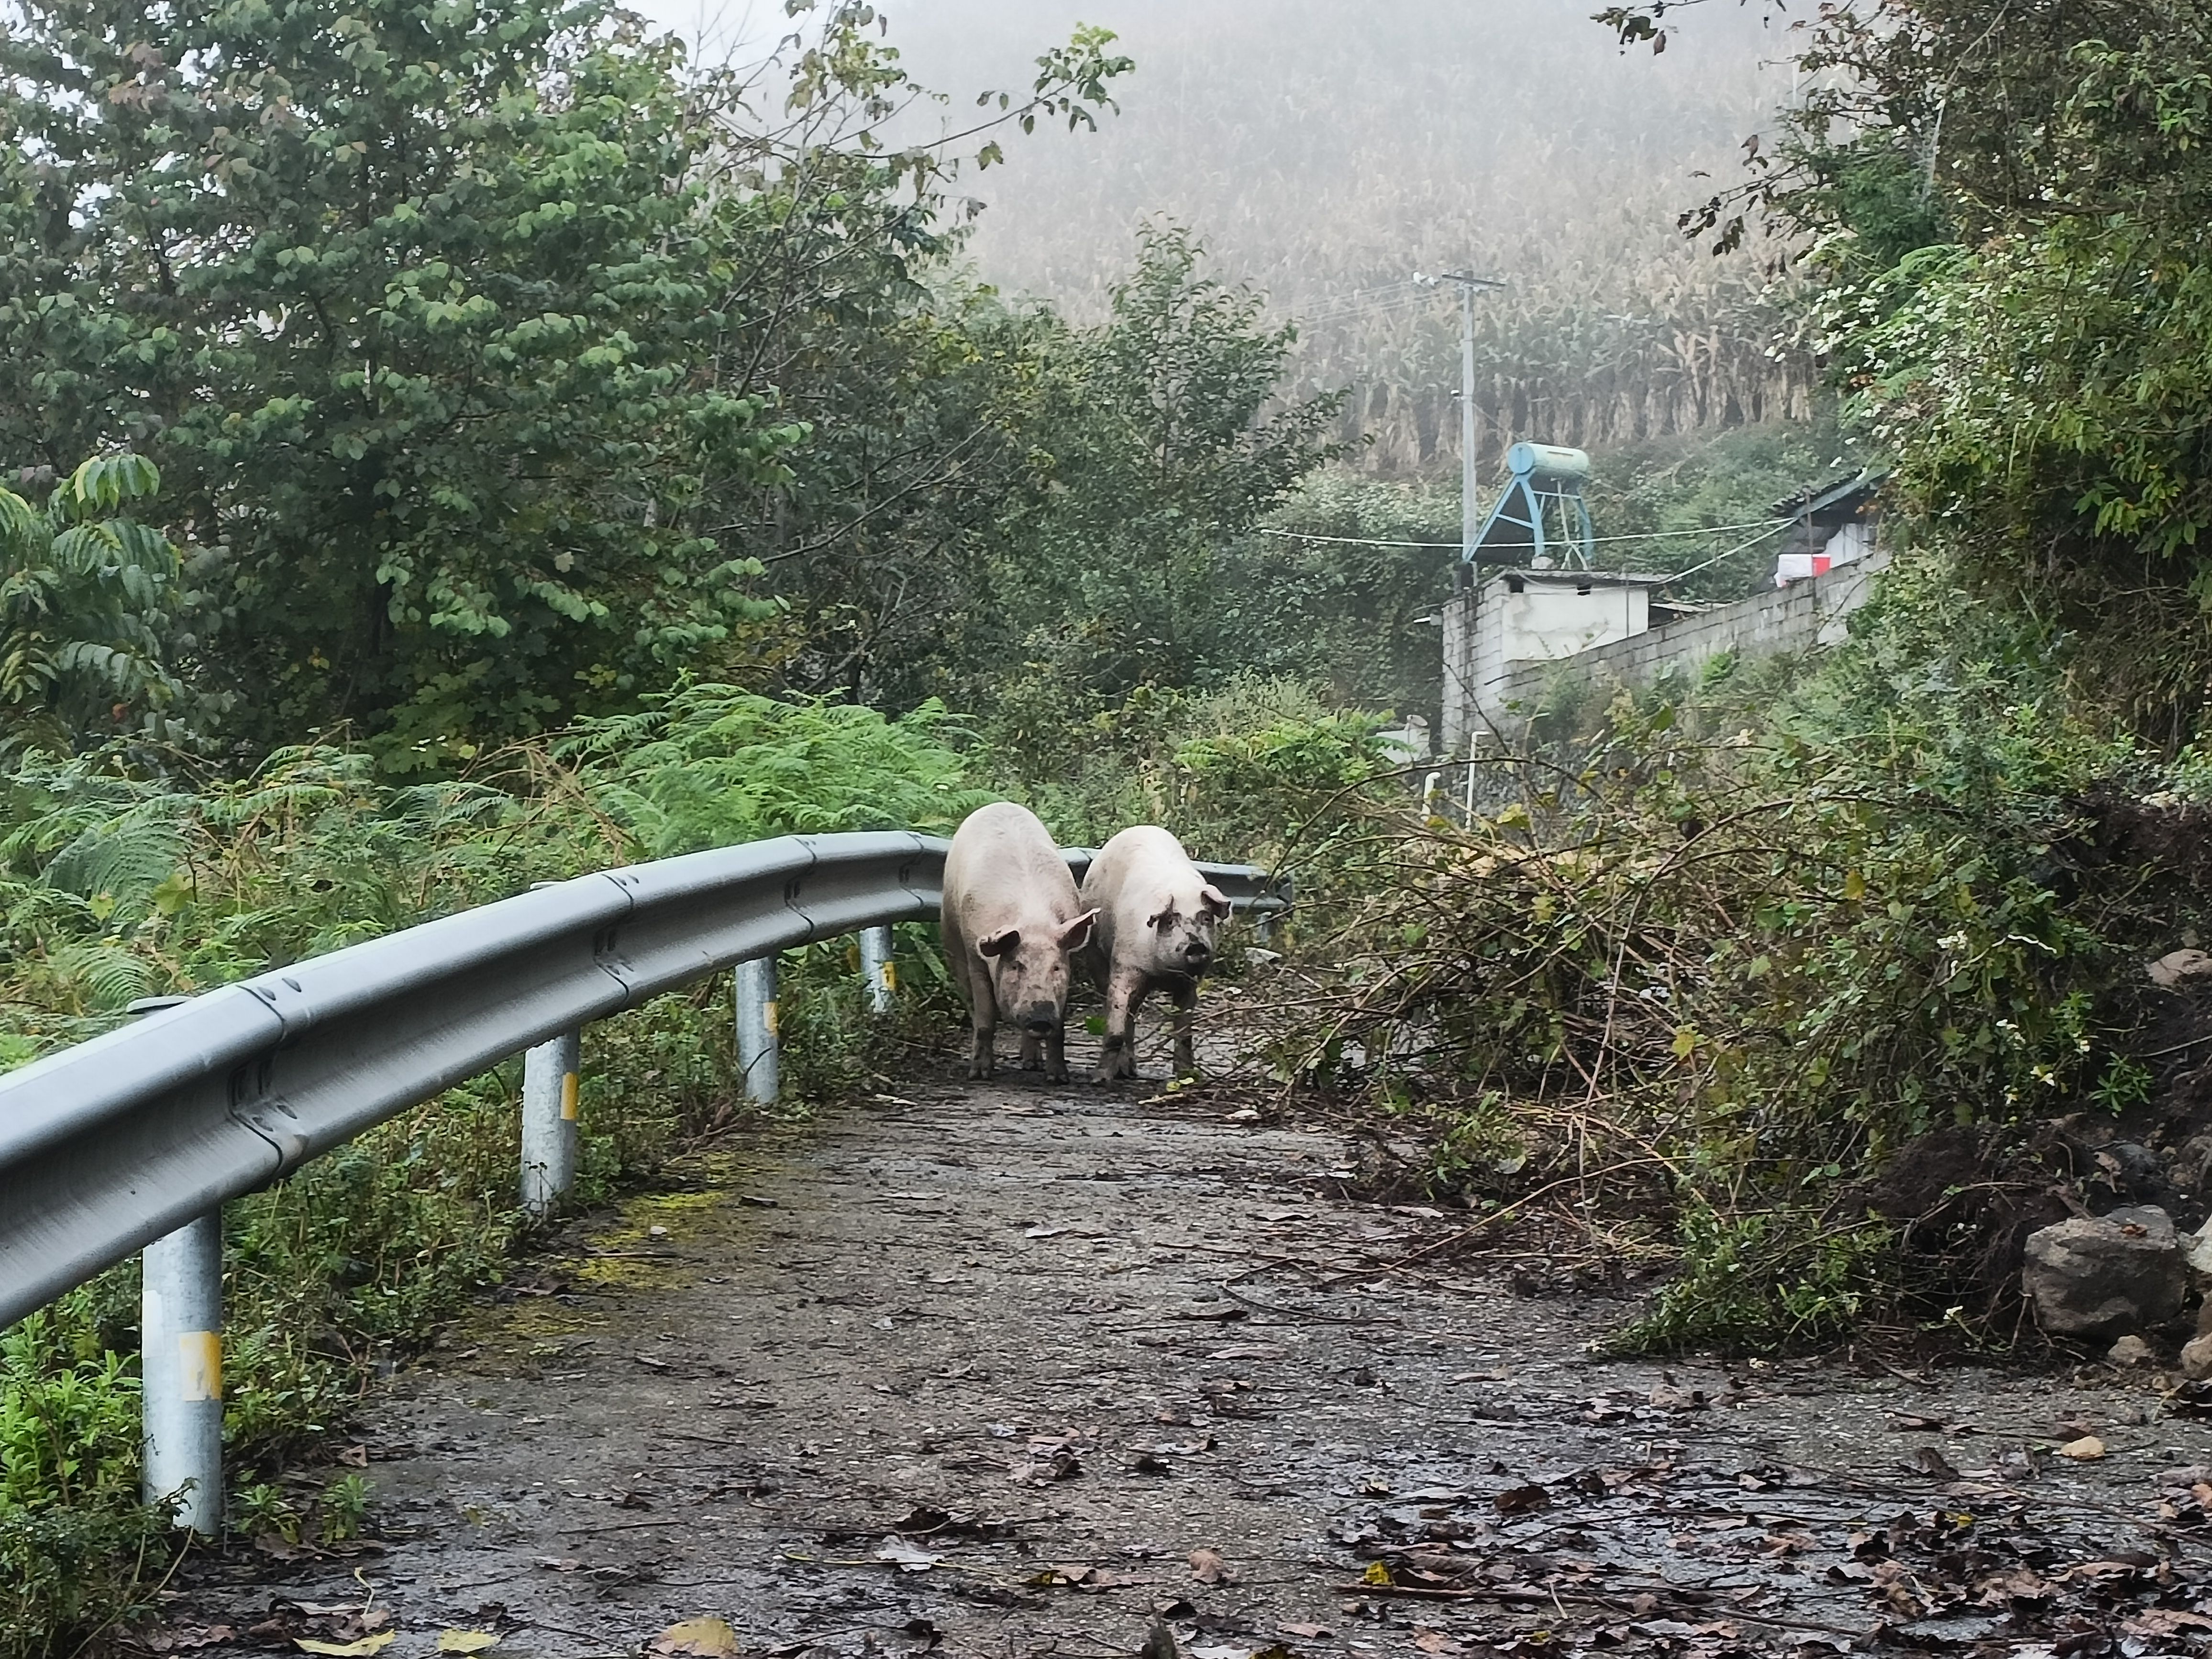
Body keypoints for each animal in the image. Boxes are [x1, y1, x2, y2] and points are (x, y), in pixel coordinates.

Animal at [942, 800, 1097, 1084]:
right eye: (1016, 966)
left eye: (1056, 968)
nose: (1041, 1015)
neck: (1032, 921)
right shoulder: (975, 955)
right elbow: (986, 1017)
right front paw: (980, 1075)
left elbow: (1060, 1029)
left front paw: (1058, 1079)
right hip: (952, 939)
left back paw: (1032, 1063)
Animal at [1079, 827, 1239, 1084]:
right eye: (1171, 921)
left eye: (1205, 918)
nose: (1196, 945)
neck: (1163, 974)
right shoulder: (1125, 965)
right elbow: (1116, 1027)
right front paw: (1099, 1079)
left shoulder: (1189, 983)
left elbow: (1184, 1033)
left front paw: (1187, 1077)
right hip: (1095, 950)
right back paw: (1124, 1073)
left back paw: (1130, 1072)